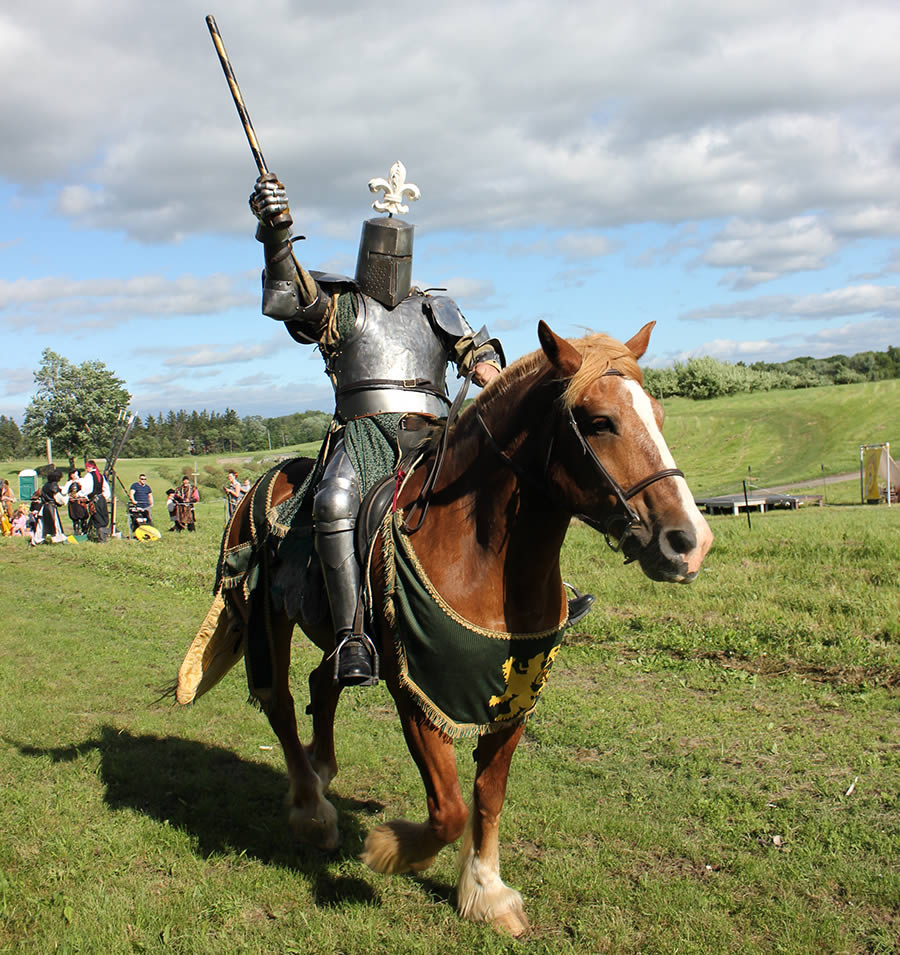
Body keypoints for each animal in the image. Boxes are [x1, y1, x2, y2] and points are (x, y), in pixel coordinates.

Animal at [174, 322, 712, 932]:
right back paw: (312, 809)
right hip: (267, 615)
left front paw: (486, 890)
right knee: (280, 702)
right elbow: (450, 810)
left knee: (324, 682)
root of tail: (260, 487)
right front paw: (391, 849)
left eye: (658, 416)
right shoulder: (416, 692)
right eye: (600, 421)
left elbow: (488, 797)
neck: (482, 558)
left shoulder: (514, 695)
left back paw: (323, 767)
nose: (688, 542)